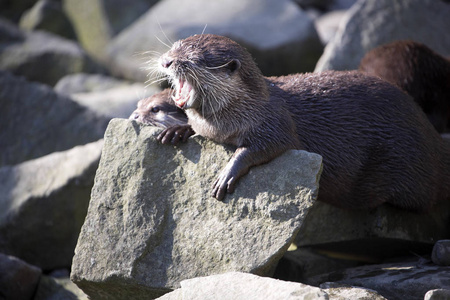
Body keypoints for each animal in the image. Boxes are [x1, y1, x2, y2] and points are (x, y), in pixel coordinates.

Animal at [156, 34, 450, 212]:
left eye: (193, 60)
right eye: (174, 47)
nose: (166, 60)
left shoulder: (275, 121)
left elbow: (267, 146)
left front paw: (227, 172)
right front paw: (176, 130)